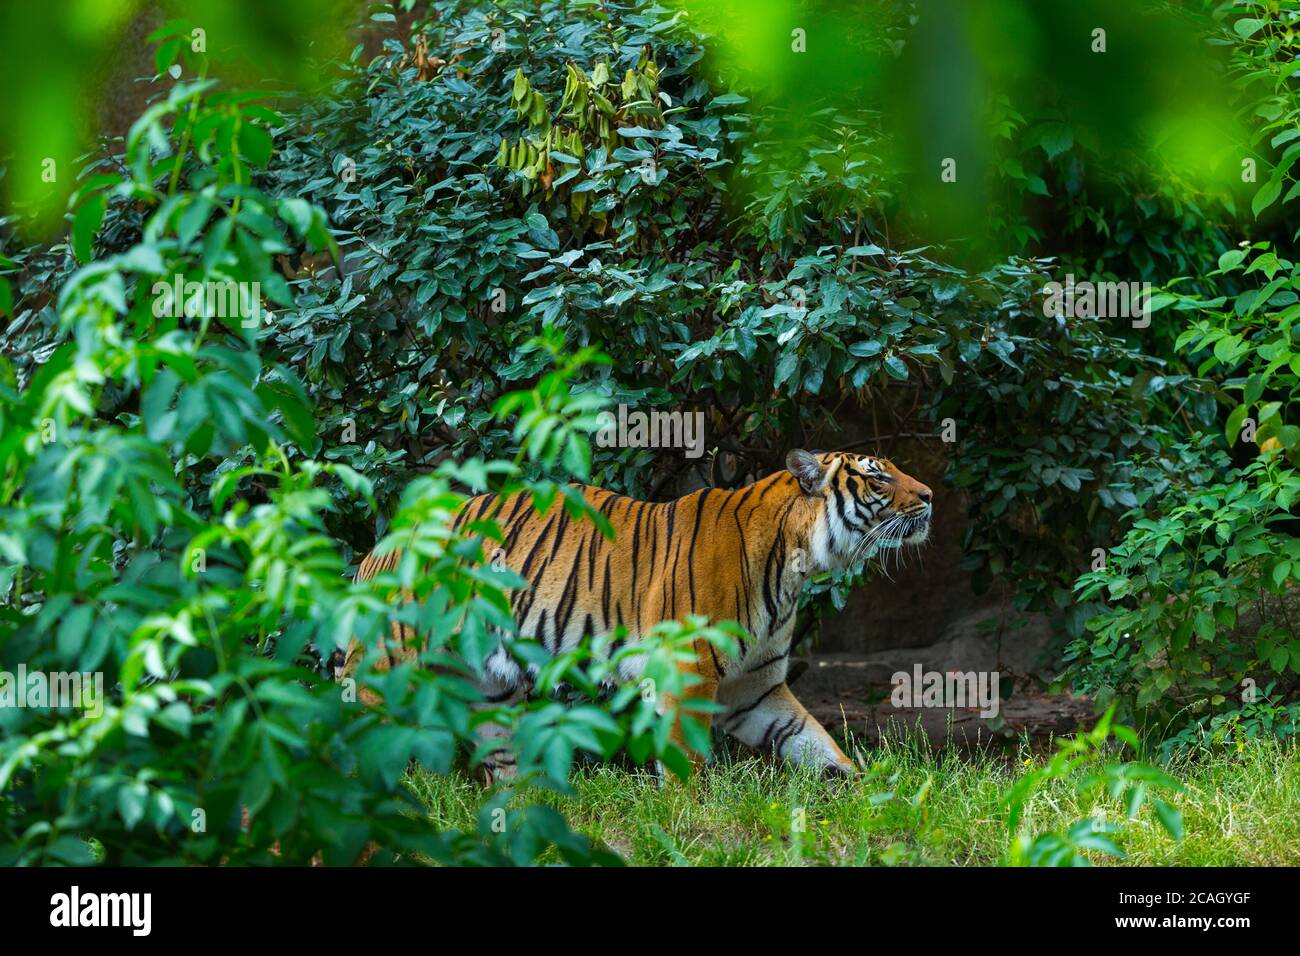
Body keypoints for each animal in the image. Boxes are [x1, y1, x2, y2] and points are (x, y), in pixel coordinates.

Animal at [345, 447, 935, 780]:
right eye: (879, 478)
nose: (930, 495)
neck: (796, 563)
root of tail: (378, 549)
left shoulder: (755, 687)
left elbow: (814, 742)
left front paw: (868, 792)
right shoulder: (687, 672)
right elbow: (686, 763)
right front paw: (691, 820)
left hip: (489, 691)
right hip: (384, 674)